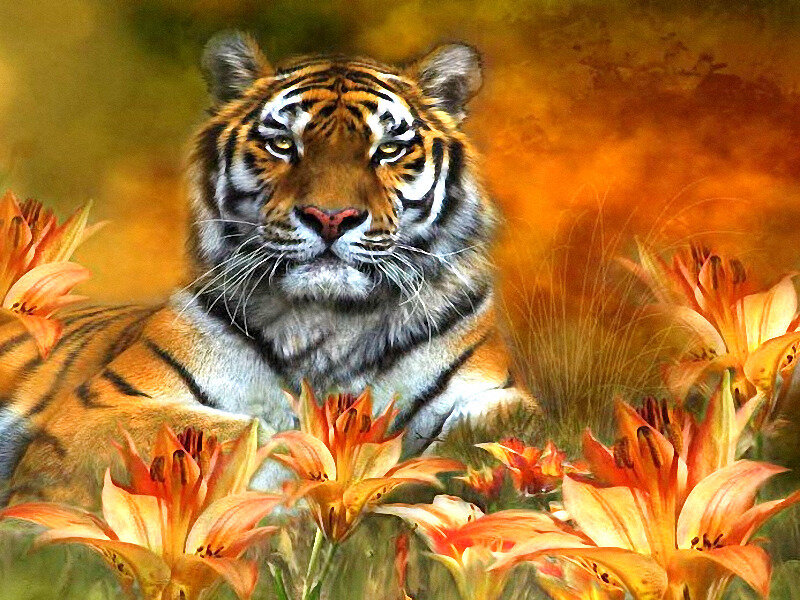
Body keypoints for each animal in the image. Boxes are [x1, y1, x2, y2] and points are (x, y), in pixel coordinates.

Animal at [0, 32, 538, 507]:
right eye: (283, 144)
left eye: (388, 150)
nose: (331, 217)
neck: (330, 322)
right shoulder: (102, 406)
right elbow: (258, 432)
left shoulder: (500, 394)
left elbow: (499, 432)